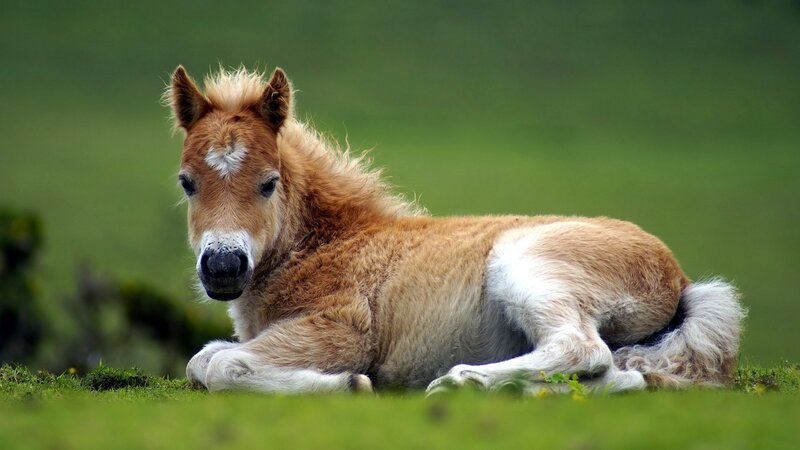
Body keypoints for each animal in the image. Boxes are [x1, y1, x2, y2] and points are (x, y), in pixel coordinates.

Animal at [165, 66, 745, 395]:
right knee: (619, 376)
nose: (222, 266)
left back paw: (459, 381)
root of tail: (680, 280)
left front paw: (350, 384)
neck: (329, 244)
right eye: (187, 182)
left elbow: (222, 366)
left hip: (525, 264)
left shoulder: (338, 329)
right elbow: (202, 359)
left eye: (268, 183)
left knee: (583, 350)